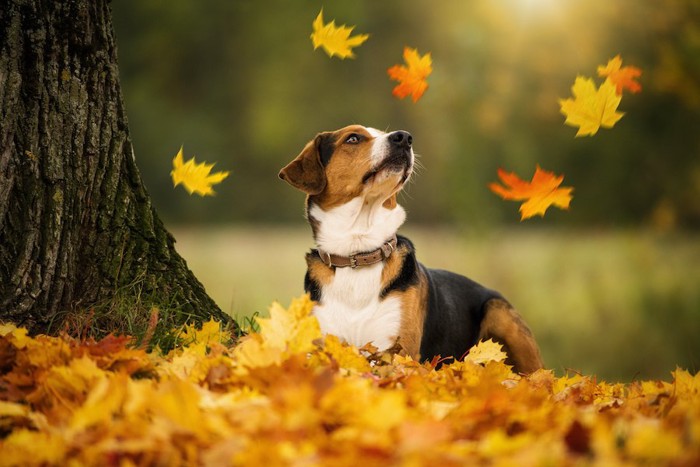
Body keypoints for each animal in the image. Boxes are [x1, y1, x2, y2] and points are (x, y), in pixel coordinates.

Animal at [278, 126, 540, 374]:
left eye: (384, 133)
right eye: (353, 138)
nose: (403, 137)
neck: (358, 253)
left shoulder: (398, 349)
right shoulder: (322, 344)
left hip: (500, 312)